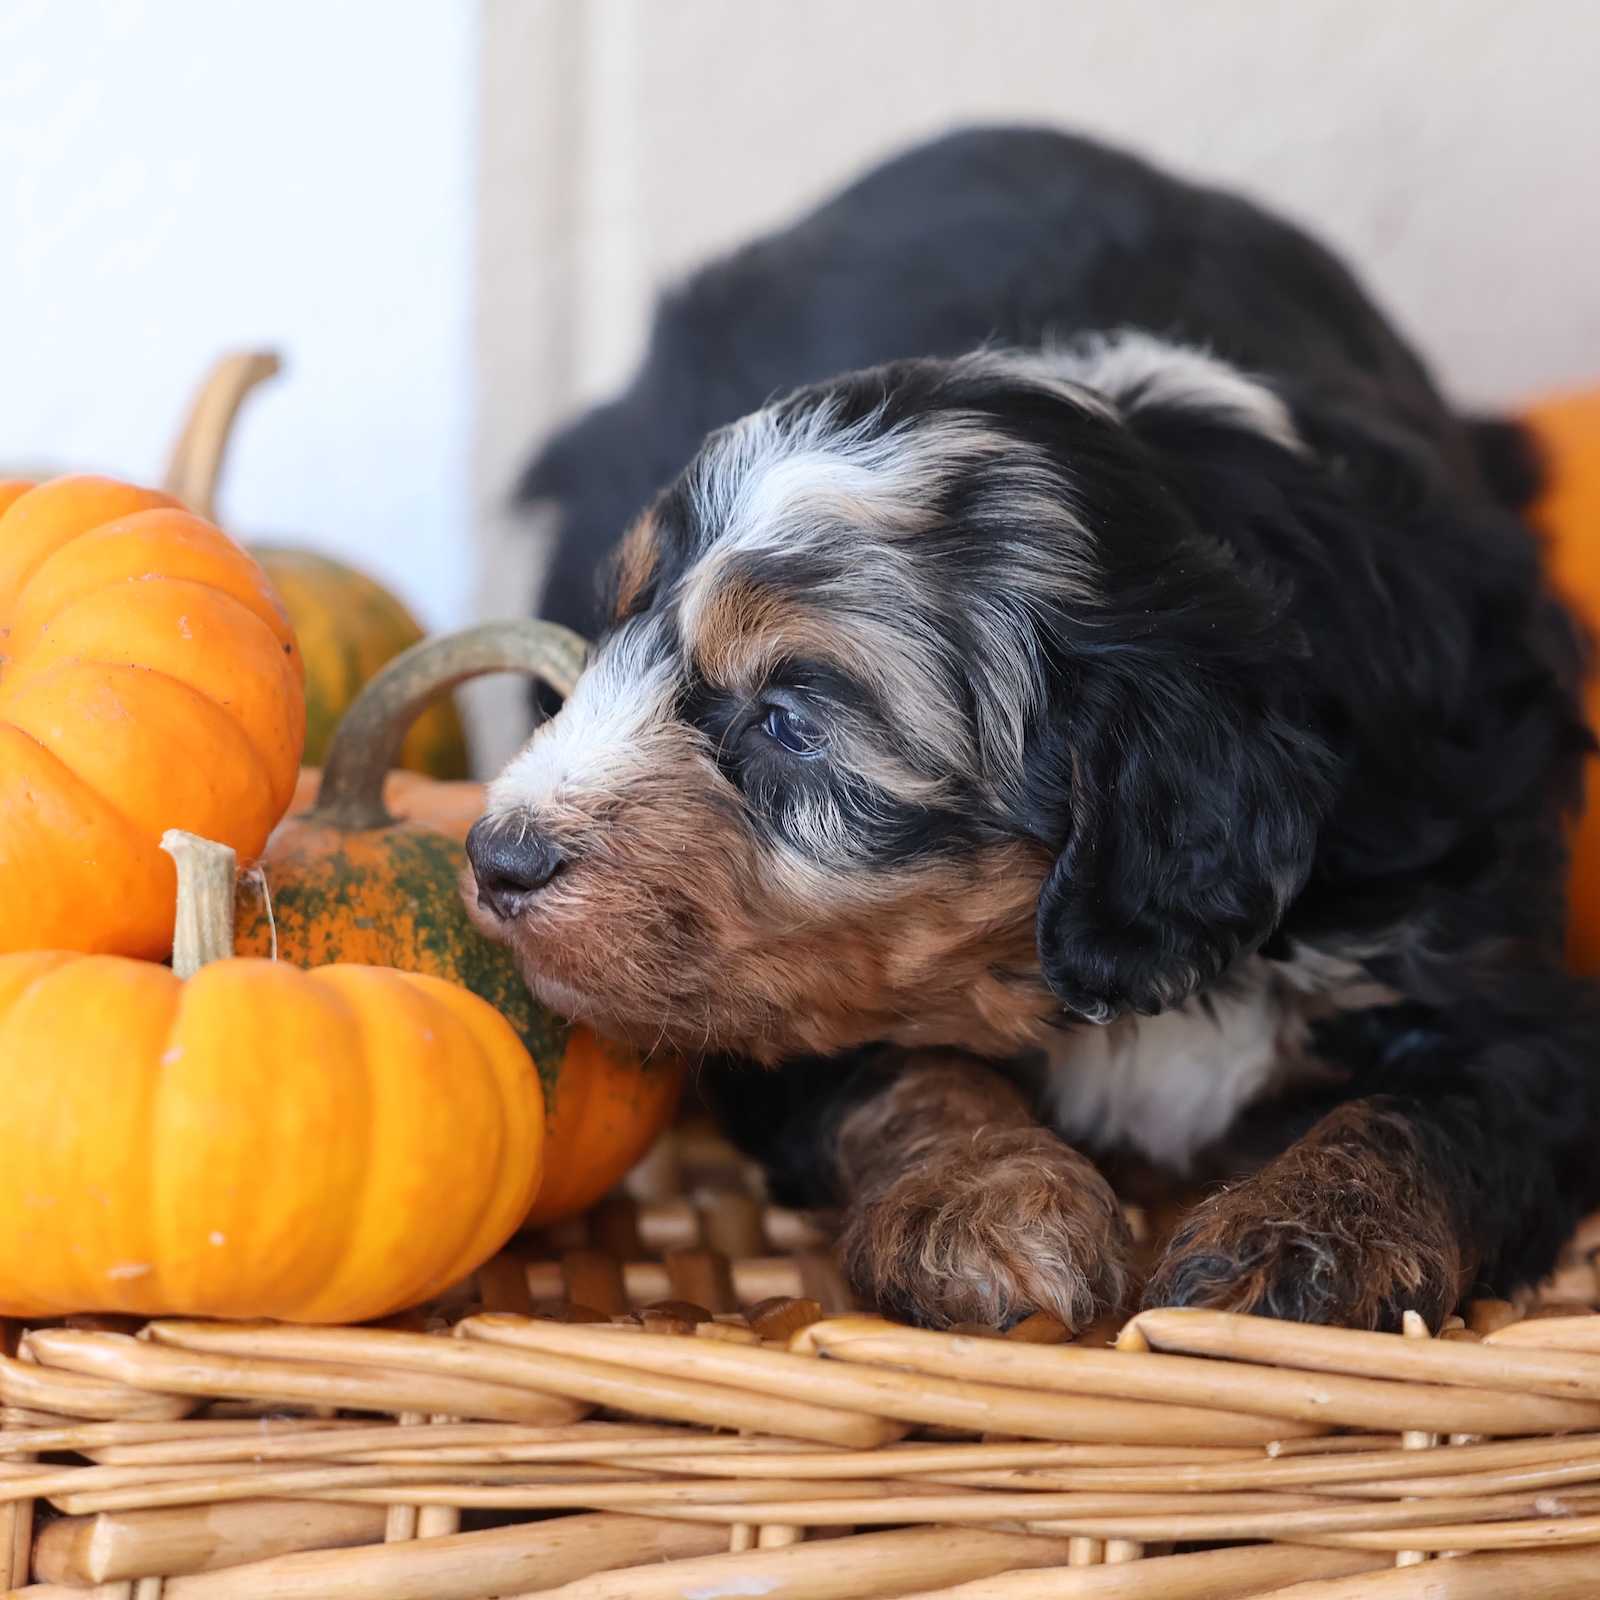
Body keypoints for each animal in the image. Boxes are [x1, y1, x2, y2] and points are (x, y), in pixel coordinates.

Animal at [466, 128, 1600, 1332]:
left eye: (789, 721)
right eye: (605, 638)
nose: (496, 856)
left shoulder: (1507, 982)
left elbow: (1433, 1114)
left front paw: (1301, 1245)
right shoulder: (775, 1003)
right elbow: (901, 1069)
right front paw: (985, 1207)